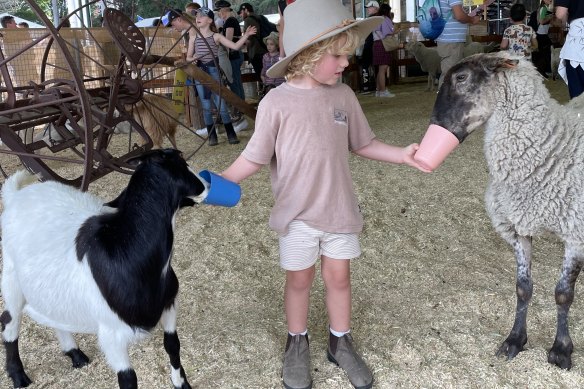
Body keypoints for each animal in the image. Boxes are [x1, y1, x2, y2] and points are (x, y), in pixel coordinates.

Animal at [0, 149, 210, 388]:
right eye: (182, 163)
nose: (208, 183)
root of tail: (15, 195)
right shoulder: (112, 334)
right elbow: (128, 378)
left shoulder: (169, 304)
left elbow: (172, 345)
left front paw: (181, 383)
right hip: (11, 277)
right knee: (9, 320)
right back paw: (18, 376)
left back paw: (75, 354)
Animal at [426, 51, 580, 370]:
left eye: (461, 77)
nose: (436, 124)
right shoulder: (518, 228)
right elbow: (523, 288)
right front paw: (515, 340)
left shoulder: (575, 232)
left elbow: (563, 294)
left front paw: (561, 350)